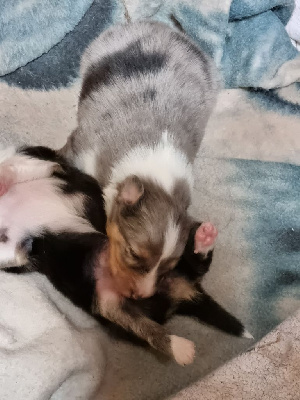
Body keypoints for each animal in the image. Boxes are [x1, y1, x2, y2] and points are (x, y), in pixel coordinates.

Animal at [1, 146, 251, 366]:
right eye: (133, 254)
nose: (140, 293)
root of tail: (183, 291)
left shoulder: (59, 168)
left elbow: (38, 165)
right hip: (111, 301)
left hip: (114, 302)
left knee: (151, 324)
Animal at [61, 19, 220, 300]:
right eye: (134, 254)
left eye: (169, 268)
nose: (142, 296)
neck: (156, 177)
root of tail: (163, 29)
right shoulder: (81, 151)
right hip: (98, 49)